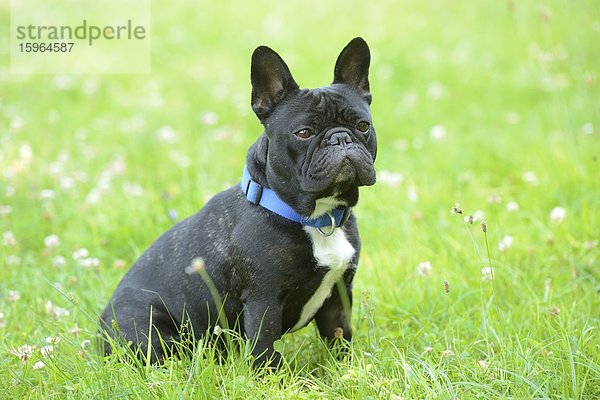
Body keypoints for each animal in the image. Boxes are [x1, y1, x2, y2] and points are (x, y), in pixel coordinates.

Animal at [101, 36, 378, 366]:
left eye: (362, 126)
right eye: (304, 133)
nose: (340, 138)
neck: (315, 218)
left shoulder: (338, 293)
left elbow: (339, 337)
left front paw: (345, 369)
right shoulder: (263, 301)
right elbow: (265, 349)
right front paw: (271, 376)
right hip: (148, 328)